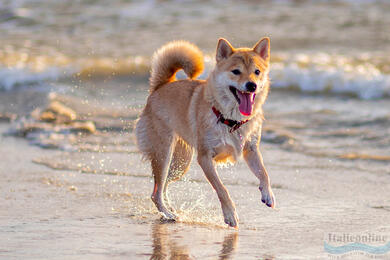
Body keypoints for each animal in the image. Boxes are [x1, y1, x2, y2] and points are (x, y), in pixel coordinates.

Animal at [136, 37, 276, 228]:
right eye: (236, 71)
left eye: (257, 72)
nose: (252, 85)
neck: (230, 119)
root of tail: (160, 87)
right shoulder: (205, 158)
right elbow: (222, 189)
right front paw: (230, 215)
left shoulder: (251, 149)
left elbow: (264, 173)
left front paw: (268, 194)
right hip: (163, 154)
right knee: (155, 193)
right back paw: (169, 214)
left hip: (180, 163)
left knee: (162, 186)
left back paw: (169, 208)